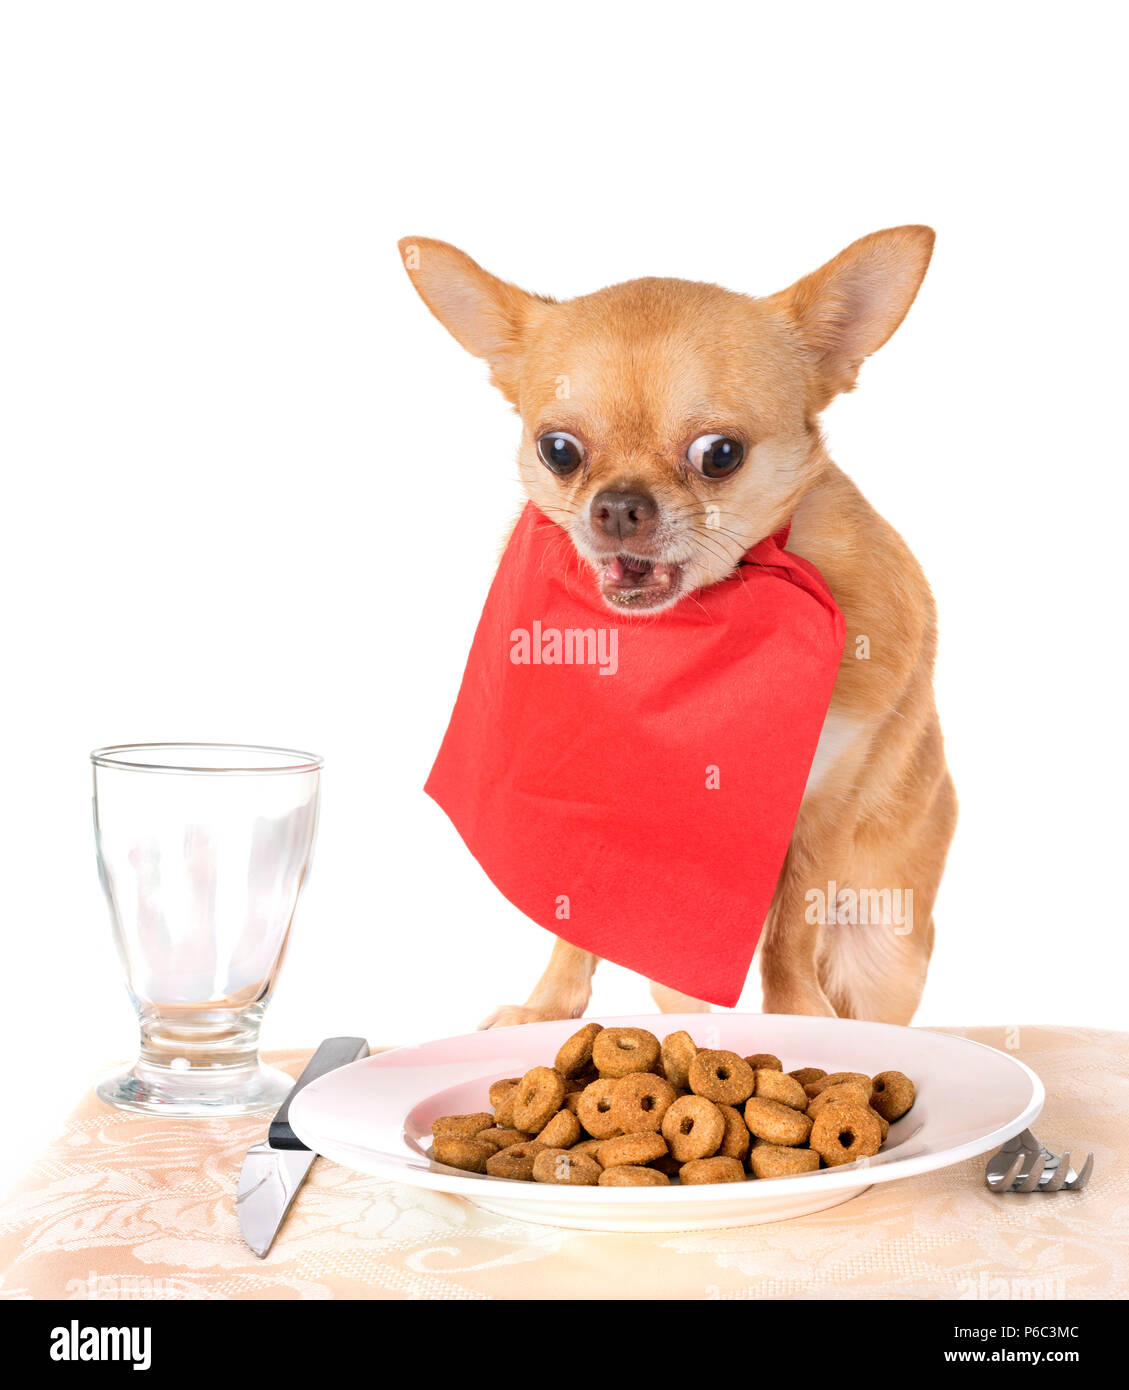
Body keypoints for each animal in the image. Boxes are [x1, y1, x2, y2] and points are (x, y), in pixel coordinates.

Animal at [400, 227, 956, 1028]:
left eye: (719, 454)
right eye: (558, 450)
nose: (617, 505)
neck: (692, 632)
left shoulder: (823, 808)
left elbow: (790, 931)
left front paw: (798, 1016)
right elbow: (572, 917)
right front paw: (548, 1010)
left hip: (886, 945)